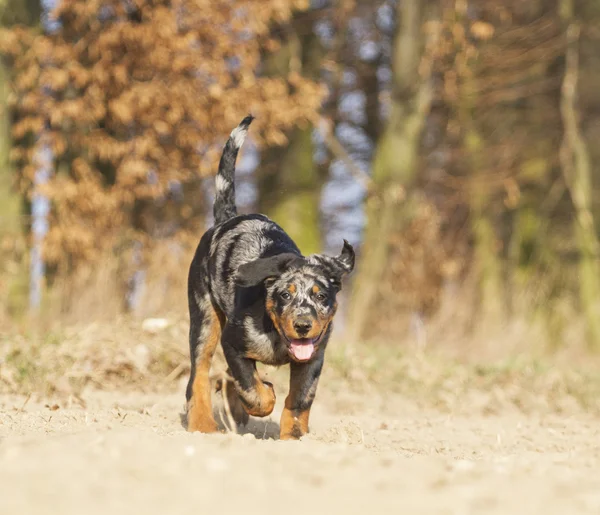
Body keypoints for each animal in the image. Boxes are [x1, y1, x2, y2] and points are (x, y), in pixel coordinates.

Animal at [183, 116, 352, 440]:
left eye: (321, 295)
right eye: (285, 294)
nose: (303, 325)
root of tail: (226, 219)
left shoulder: (314, 357)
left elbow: (300, 398)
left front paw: (294, 436)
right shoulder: (233, 343)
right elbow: (254, 390)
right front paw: (264, 396)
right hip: (205, 320)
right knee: (198, 375)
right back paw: (203, 425)